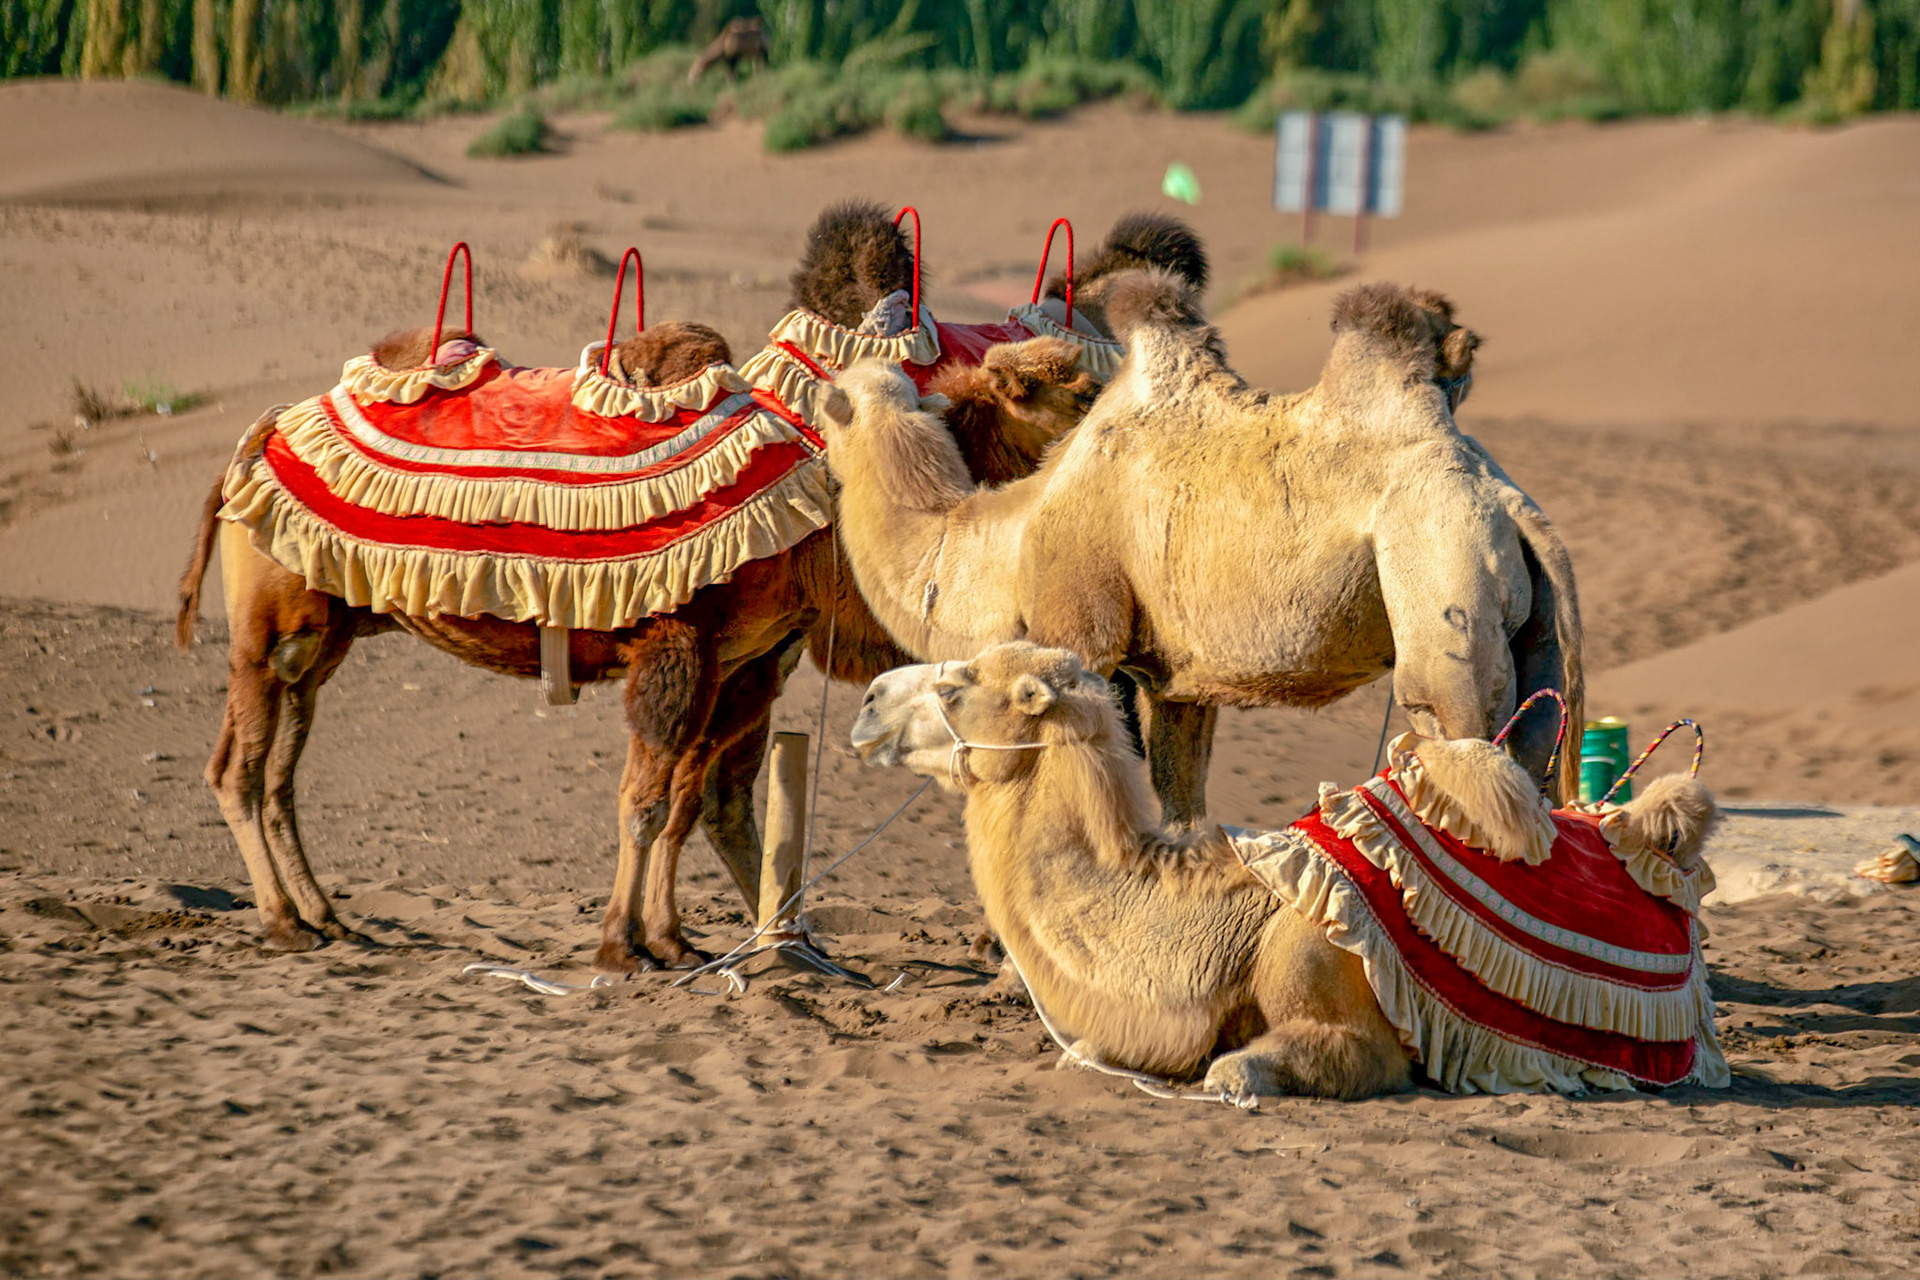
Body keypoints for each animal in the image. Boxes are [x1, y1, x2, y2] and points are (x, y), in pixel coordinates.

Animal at [174, 207, 1197, 971]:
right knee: (237, 767)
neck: (813, 478)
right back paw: (280, 921)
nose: (1133, 430)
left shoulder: (738, 660)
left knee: (280, 768)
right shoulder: (679, 647)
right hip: (265, 626)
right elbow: (651, 798)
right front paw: (621, 945)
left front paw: (677, 940)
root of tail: (255, 437)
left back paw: (325, 916)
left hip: (321, 635)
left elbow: (689, 800)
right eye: (1065, 385)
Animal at [821, 276, 1584, 827]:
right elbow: (1180, 801)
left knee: (1458, 726)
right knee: (1536, 750)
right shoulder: (1173, 682)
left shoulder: (1078, 629)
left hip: (1443, 580)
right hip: (1533, 629)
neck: (1014, 535)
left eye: (842, 399)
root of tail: (1504, 497)